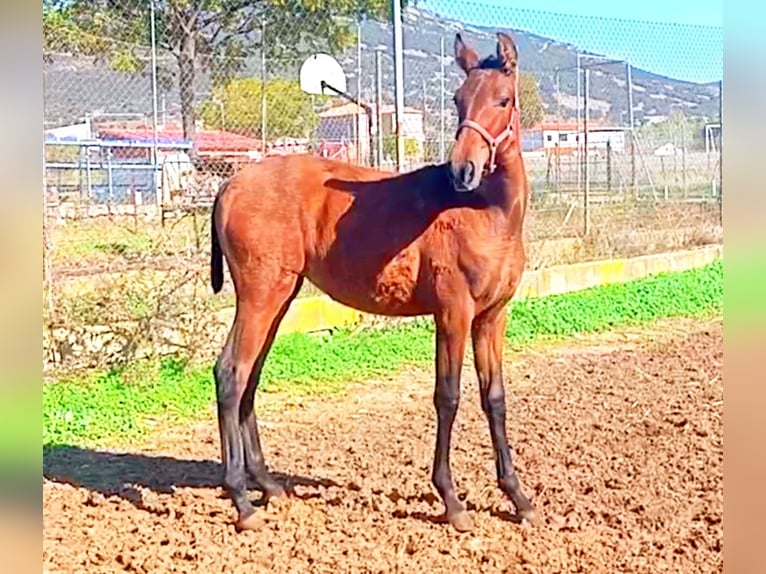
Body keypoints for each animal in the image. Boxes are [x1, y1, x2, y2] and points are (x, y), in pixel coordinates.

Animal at [207, 31, 536, 536]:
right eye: (458, 99)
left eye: (502, 99)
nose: (462, 170)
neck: (486, 213)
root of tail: (229, 185)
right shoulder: (453, 312)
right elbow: (448, 396)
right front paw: (452, 501)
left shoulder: (492, 316)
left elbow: (494, 397)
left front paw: (518, 497)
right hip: (260, 295)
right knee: (230, 374)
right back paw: (242, 501)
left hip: (280, 297)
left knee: (250, 378)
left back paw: (269, 486)